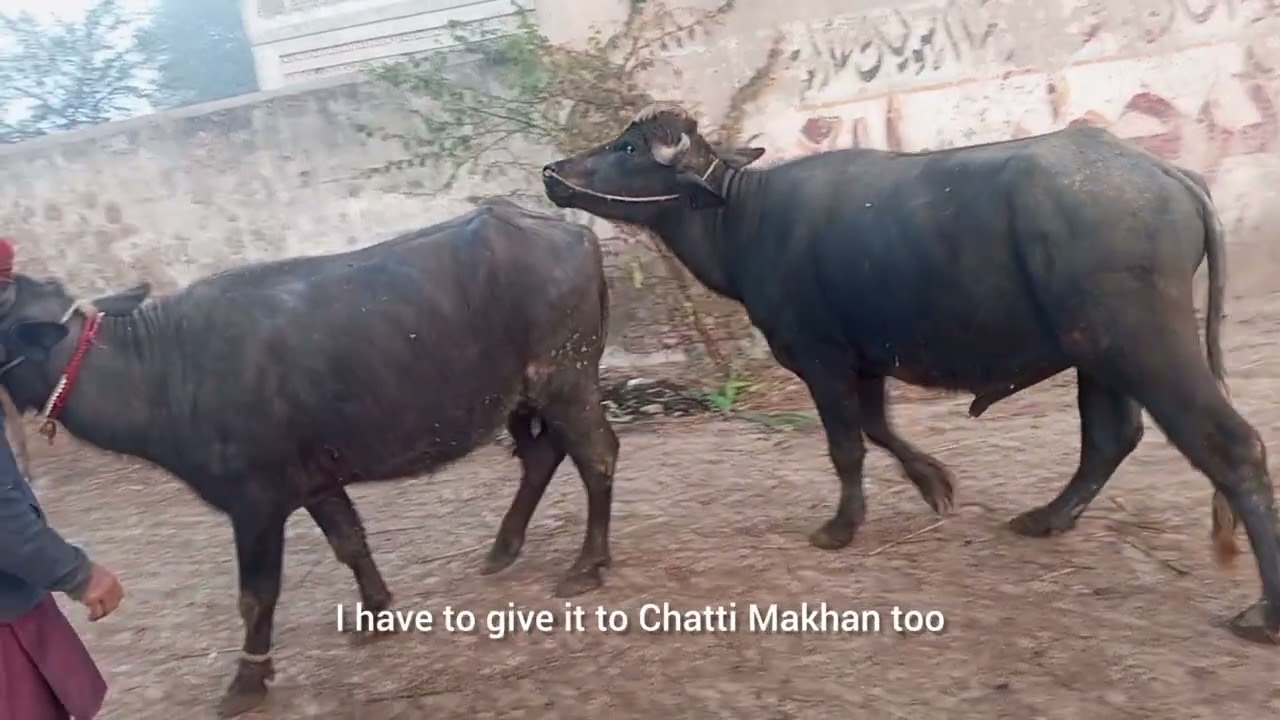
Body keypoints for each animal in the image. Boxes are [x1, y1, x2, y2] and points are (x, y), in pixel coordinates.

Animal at [0, 199, 619, 716]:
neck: (161, 369)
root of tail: (573, 233)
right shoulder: (315, 483)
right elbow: (350, 542)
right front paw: (375, 613)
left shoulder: (255, 502)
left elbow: (256, 596)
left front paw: (246, 682)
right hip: (524, 395)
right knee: (542, 454)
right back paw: (502, 548)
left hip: (565, 378)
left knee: (597, 456)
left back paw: (586, 565)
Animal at [541, 103, 1278, 645]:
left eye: (630, 150)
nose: (553, 172)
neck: (744, 214)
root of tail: (1168, 173)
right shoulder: (864, 358)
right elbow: (878, 428)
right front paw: (935, 483)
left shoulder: (820, 357)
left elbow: (846, 445)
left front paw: (841, 527)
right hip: (1098, 355)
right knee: (1110, 438)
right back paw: (1046, 518)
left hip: (1144, 343)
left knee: (1231, 446)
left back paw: (1263, 613)